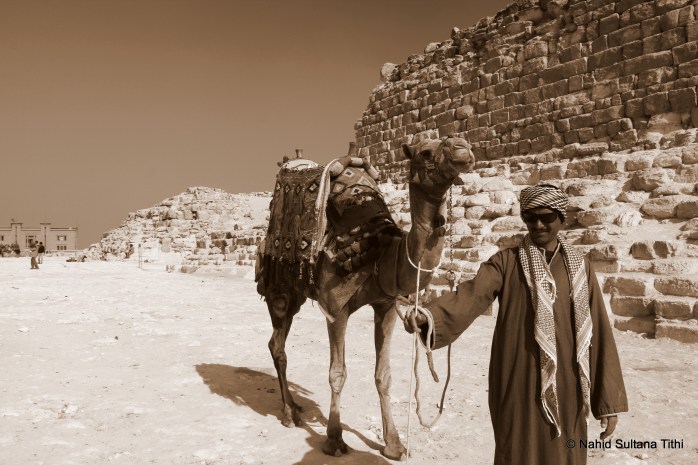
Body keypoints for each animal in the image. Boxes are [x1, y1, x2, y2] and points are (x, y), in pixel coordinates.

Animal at [255, 135, 475, 460]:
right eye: (425, 151)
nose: (463, 148)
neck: (380, 254)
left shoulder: (386, 305)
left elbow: (383, 375)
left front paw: (394, 444)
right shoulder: (336, 308)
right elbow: (337, 373)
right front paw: (334, 440)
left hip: (295, 295)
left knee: (277, 342)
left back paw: (295, 405)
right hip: (279, 290)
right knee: (277, 345)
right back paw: (289, 413)